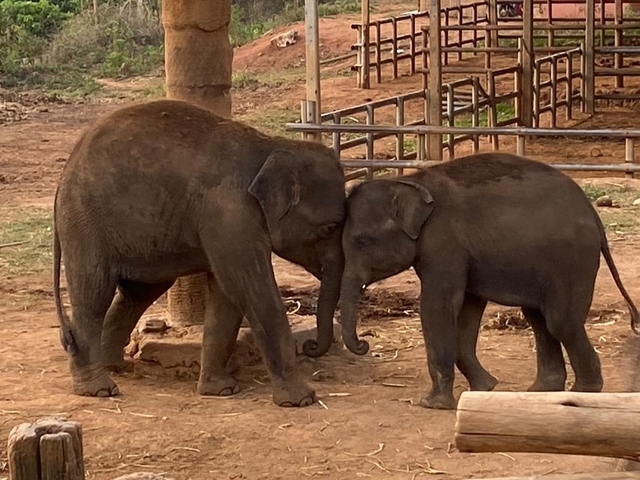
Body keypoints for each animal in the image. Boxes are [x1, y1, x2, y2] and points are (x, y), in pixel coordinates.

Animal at [53, 99, 346, 407]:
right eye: (329, 228)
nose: (312, 346)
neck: (272, 146)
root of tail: (63, 176)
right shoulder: (230, 215)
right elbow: (254, 293)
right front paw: (301, 400)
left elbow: (227, 297)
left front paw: (221, 390)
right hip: (86, 225)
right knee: (93, 294)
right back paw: (99, 388)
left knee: (139, 291)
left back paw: (115, 367)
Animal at [339, 152, 639, 410]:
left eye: (362, 242)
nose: (365, 344)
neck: (412, 181)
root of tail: (594, 216)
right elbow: (468, 309)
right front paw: (485, 387)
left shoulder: (443, 243)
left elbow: (438, 306)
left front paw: (433, 404)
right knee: (539, 319)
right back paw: (541, 391)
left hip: (571, 261)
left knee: (560, 323)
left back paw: (585, 392)